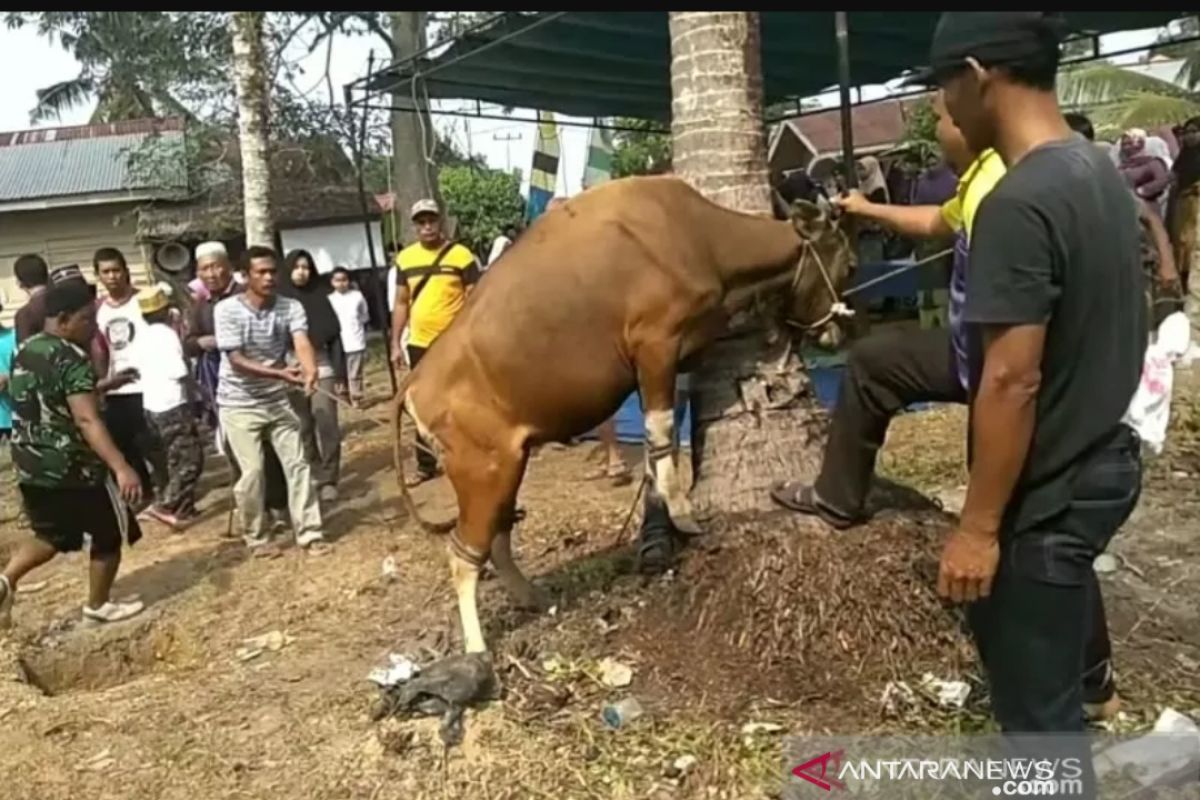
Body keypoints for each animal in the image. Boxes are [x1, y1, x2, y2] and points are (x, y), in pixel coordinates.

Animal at [398, 173, 859, 652]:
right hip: (483, 472)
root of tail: (413, 385)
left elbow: (664, 437)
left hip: (510, 461)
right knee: (462, 555)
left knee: (497, 538)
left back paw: (531, 596)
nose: (838, 331)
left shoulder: (675, 359)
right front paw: (684, 516)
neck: (697, 236)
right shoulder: (656, 345)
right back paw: (477, 648)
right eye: (851, 264)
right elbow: (660, 430)